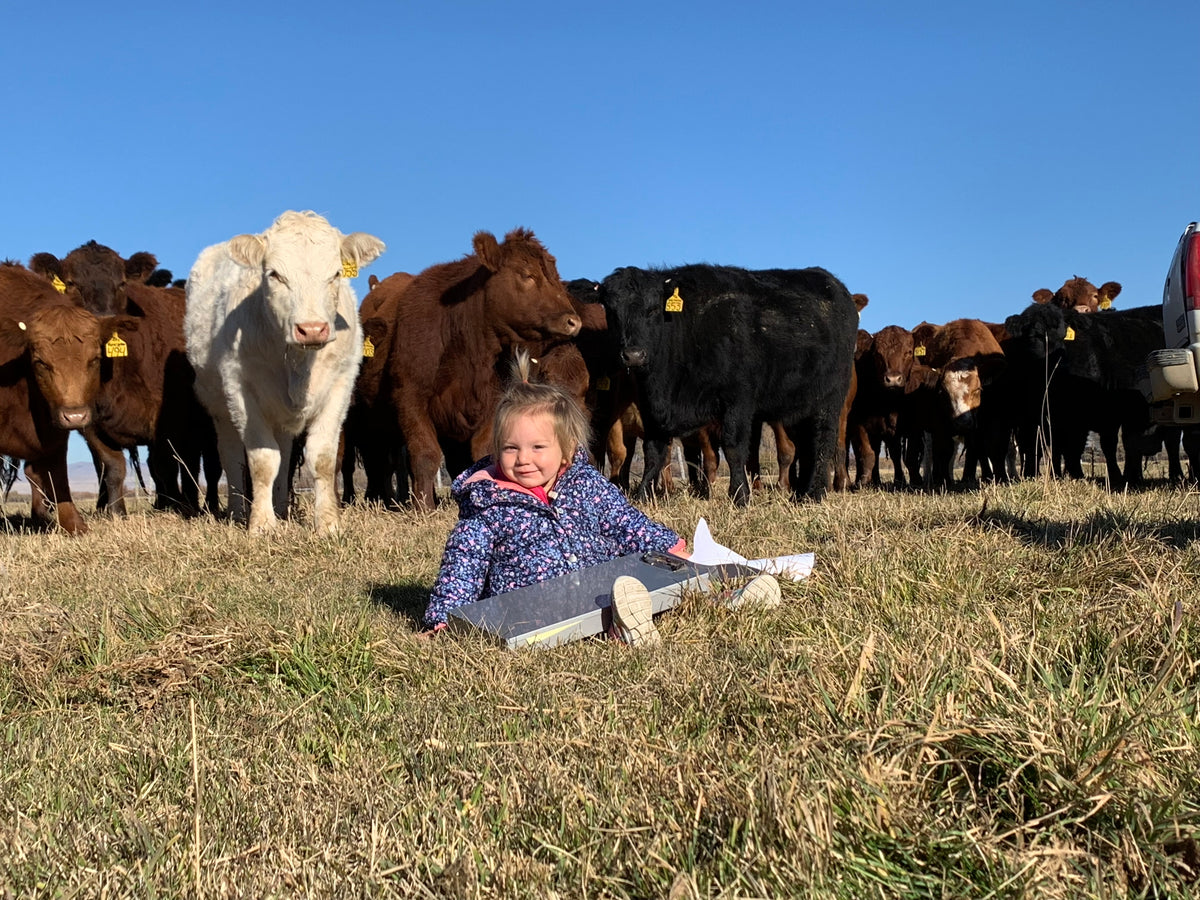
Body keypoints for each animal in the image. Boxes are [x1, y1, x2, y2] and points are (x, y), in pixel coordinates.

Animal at [0, 264, 139, 533]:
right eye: (40, 362)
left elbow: (57, 476)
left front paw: (74, 525)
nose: (75, 416)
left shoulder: (53, 431)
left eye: (95, 359)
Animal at [185, 211, 385, 533]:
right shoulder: (243, 392)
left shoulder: (340, 387)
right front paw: (262, 525)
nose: (312, 329)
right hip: (219, 406)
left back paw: (281, 508)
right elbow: (263, 460)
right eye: (274, 274)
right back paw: (239, 512)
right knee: (232, 456)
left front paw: (327, 524)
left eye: (336, 274)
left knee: (286, 453)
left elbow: (322, 458)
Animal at [374, 229, 581, 508]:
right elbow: (425, 453)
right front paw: (424, 508)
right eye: (527, 274)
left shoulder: (492, 404)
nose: (573, 321)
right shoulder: (410, 398)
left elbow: (483, 451)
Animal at [597, 264, 858, 505]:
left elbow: (733, 447)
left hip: (830, 397)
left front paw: (740, 495)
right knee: (805, 444)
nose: (633, 355)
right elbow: (653, 452)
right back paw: (800, 492)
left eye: (652, 310)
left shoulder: (738, 399)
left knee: (823, 440)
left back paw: (814, 493)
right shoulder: (652, 407)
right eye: (612, 312)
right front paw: (642, 496)